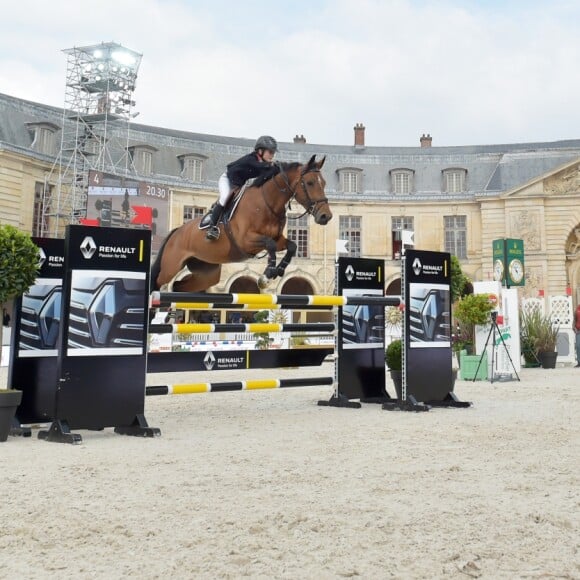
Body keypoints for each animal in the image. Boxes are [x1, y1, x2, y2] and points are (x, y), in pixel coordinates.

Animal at [151, 154, 330, 292]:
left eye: (324, 183)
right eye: (310, 183)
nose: (325, 216)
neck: (267, 203)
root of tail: (176, 231)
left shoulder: (277, 239)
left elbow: (291, 246)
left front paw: (278, 270)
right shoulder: (245, 241)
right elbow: (270, 244)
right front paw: (268, 273)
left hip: (207, 272)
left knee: (179, 286)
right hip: (171, 266)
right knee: (158, 282)